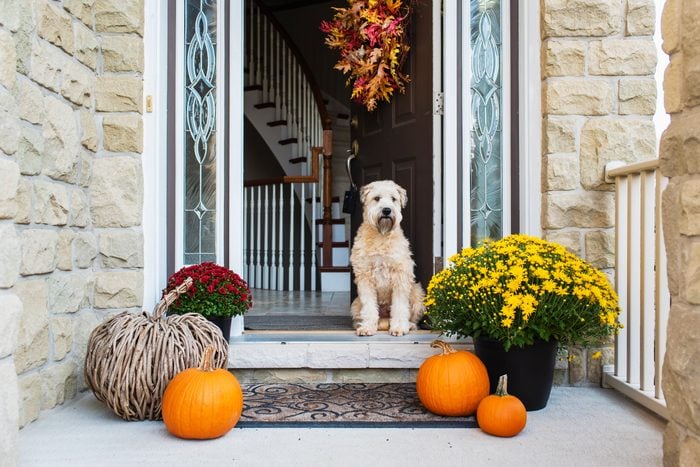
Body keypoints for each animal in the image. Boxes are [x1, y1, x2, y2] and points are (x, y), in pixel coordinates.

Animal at [348, 180, 424, 336]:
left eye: (393, 199)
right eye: (377, 198)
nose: (387, 210)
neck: (381, 235)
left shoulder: (401, 276)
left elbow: (400, 306)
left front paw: (399, 327)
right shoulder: (365, 276)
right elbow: (369, 307)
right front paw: (367, 327)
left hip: (417, 293)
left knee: (412, 318)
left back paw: (409, 325)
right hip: (355, 304)